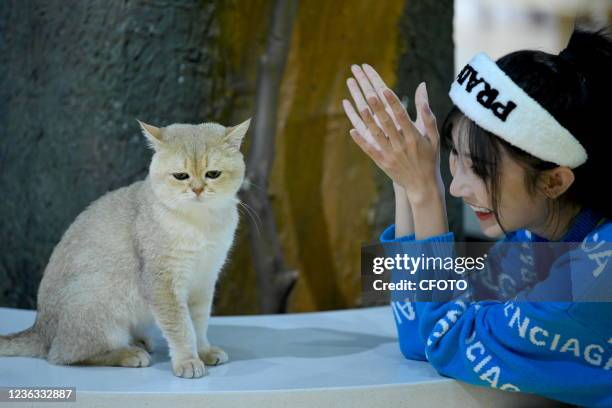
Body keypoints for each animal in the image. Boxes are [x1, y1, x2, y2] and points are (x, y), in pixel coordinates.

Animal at [0, 118, 249, 380]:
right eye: (181, 176)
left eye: (213, 174)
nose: (198, 189)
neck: (200, 223)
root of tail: (40, 330)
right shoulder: (162, 283)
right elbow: (181, 327)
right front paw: (188, 360)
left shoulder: (204, 282)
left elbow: (198, 324)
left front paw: (204, 351)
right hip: (98, 305)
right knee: (63, 356)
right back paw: (127, 353)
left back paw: (139, 342)